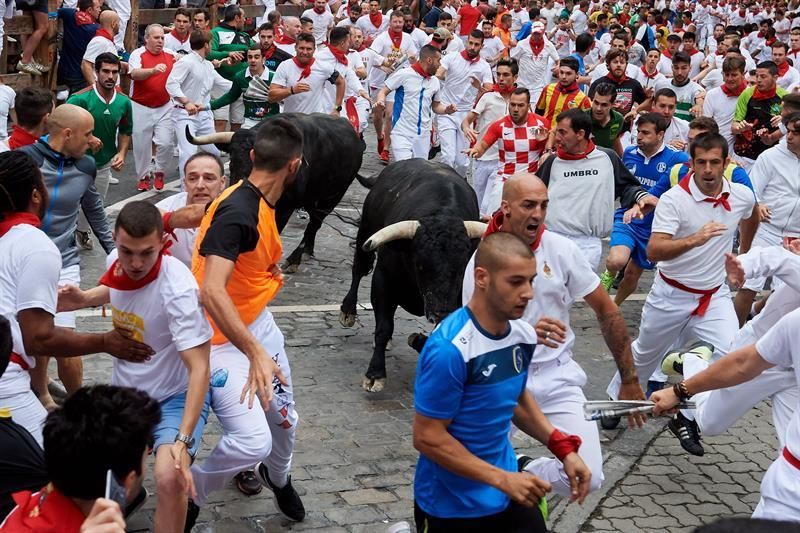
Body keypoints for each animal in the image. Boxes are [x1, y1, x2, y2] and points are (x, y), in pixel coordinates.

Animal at [186, 111, 364, 270]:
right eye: (234, 159)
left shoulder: (285, 208)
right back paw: (307, 251)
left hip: (334, 196)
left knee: (315, 222)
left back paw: (295, 259)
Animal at [340, 158, 488, 390]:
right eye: (421, 264)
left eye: (462, 266)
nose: (440, 312)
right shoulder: (383, 281)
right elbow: (383, 327)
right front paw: (375, 374)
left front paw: (418, 340)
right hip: (366, 230)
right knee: (359, 268)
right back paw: (348, 312)